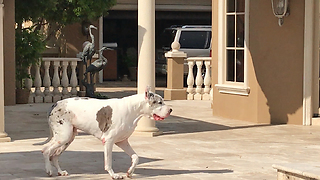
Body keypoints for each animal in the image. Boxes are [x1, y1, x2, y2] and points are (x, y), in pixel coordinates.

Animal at [42, 87, 174, 179]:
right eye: (159, 102)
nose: (171, 110)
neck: (132, 109)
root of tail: (55, 104)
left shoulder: (122, 142)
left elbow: (136, 157)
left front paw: (130, 172)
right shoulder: (109, 141)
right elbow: (109, 162)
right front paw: (114, 175)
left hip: (68, 138)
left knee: (54, 156)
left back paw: (60, 171)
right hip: (64, 136)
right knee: (46, 150)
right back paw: (49, 170)